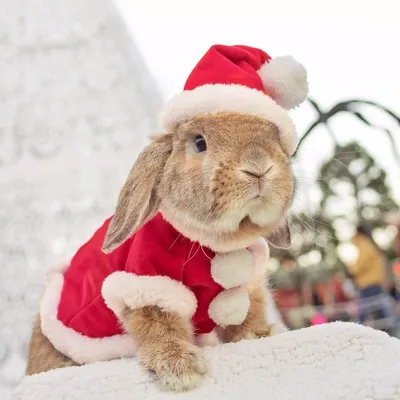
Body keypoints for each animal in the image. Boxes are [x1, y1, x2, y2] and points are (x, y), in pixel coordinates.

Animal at [25, 43, 306, 390]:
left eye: (275, 138)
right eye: (199, 142)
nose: (258, 166)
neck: (214, 244)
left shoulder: (247, 285)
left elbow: (246, 312)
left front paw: (262, 334)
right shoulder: (147, 283)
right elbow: (158, 324)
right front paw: (182, 369)